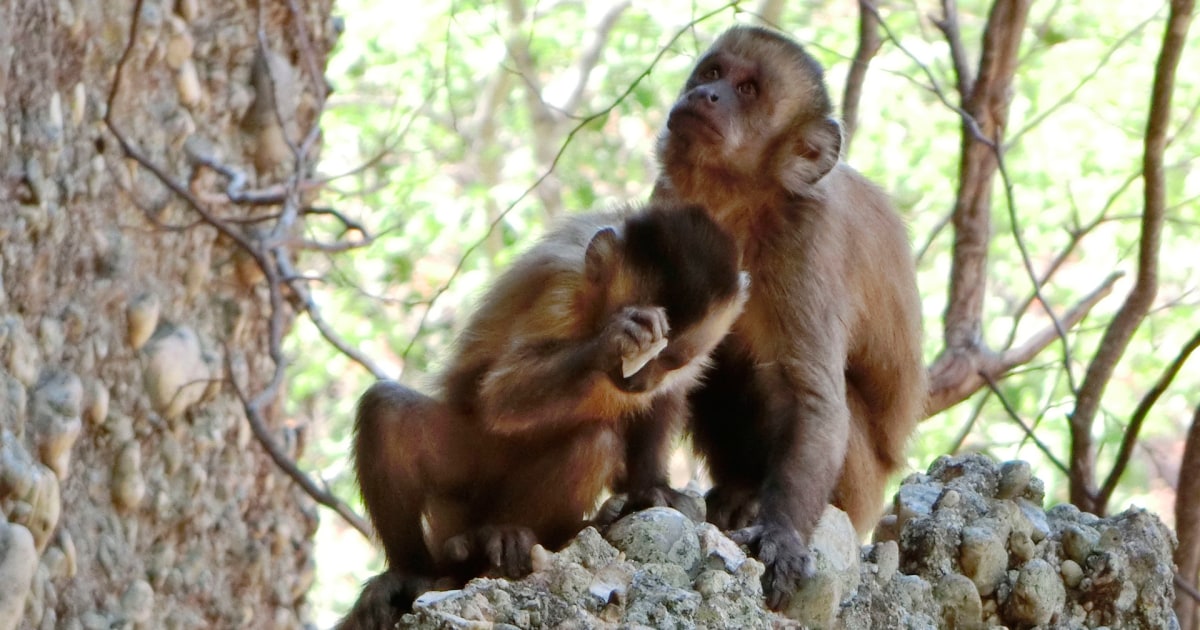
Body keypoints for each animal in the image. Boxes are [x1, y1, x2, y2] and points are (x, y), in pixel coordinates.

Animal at [336, 203, 749, 629]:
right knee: (386, 410)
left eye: (670, 360)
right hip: (461, 485)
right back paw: (418, 570)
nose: (638, 380)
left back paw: (517, 534)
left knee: (593, 443)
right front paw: (613, 338)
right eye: (641, 352)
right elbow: (501, 395)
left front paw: (651, 488)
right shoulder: (561, 285)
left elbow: (665, 400)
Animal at [651, 25, 926, 610]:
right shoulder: (671, 207)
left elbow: (812, 397)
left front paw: (781, 535)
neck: (742, 208)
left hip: (861, 490)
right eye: (713, 73)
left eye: (748, 90)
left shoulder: (805, 241)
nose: (707, 95)